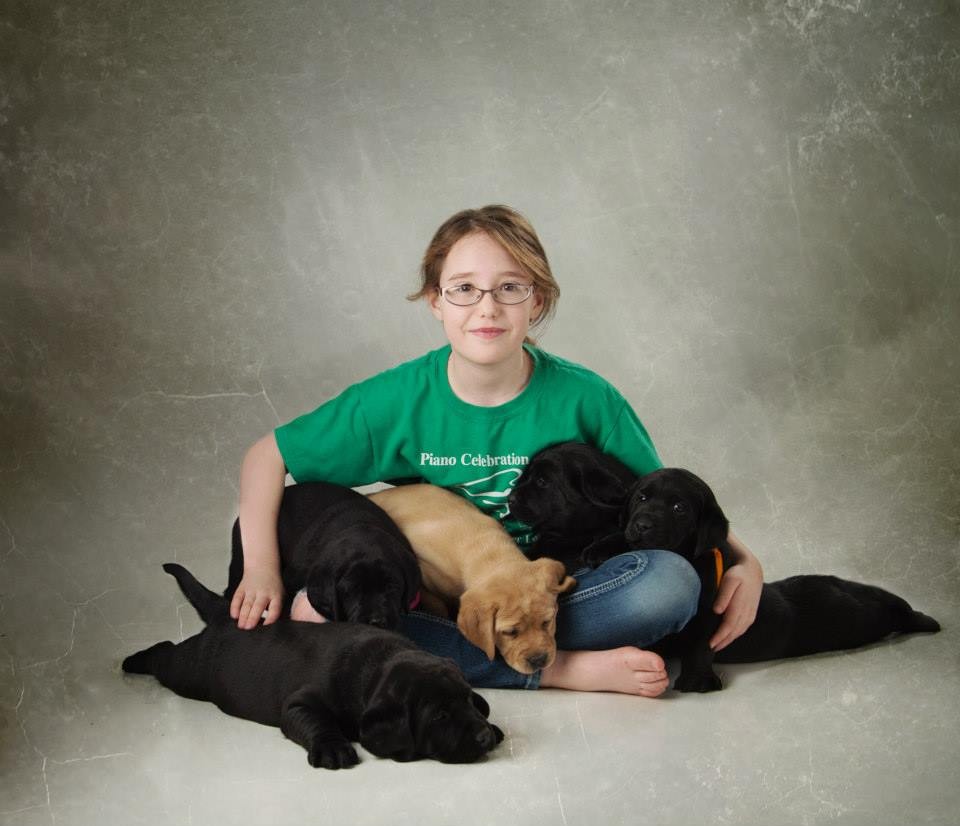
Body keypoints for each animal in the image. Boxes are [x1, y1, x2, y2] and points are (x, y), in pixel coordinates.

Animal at [122, 560, 502, 768]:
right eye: (439, 716)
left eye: (466, 701)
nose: (483, 736)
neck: (376, 666)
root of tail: (226, 614)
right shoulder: (300, 703)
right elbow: (315, 721)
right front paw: (333, 749)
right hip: (191, 671)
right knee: (166, 655)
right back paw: (133, 659)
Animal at [370, 486, 572, 672]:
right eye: (509, 632)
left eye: (547, 622)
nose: (539, 660)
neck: (487, 551)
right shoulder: (424, 574)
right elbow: (437, 604)